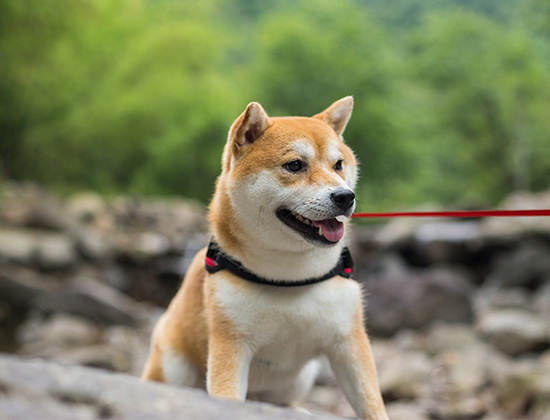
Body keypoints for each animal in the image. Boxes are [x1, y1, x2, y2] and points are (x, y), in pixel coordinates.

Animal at [143, 97, 392, 420]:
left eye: (338, 164)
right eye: (295, 165)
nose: (345, 196)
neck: (289, 278)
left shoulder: (349, 342)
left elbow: (372, 404)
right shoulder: (230, 344)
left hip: (299, 379)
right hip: (174, 365)